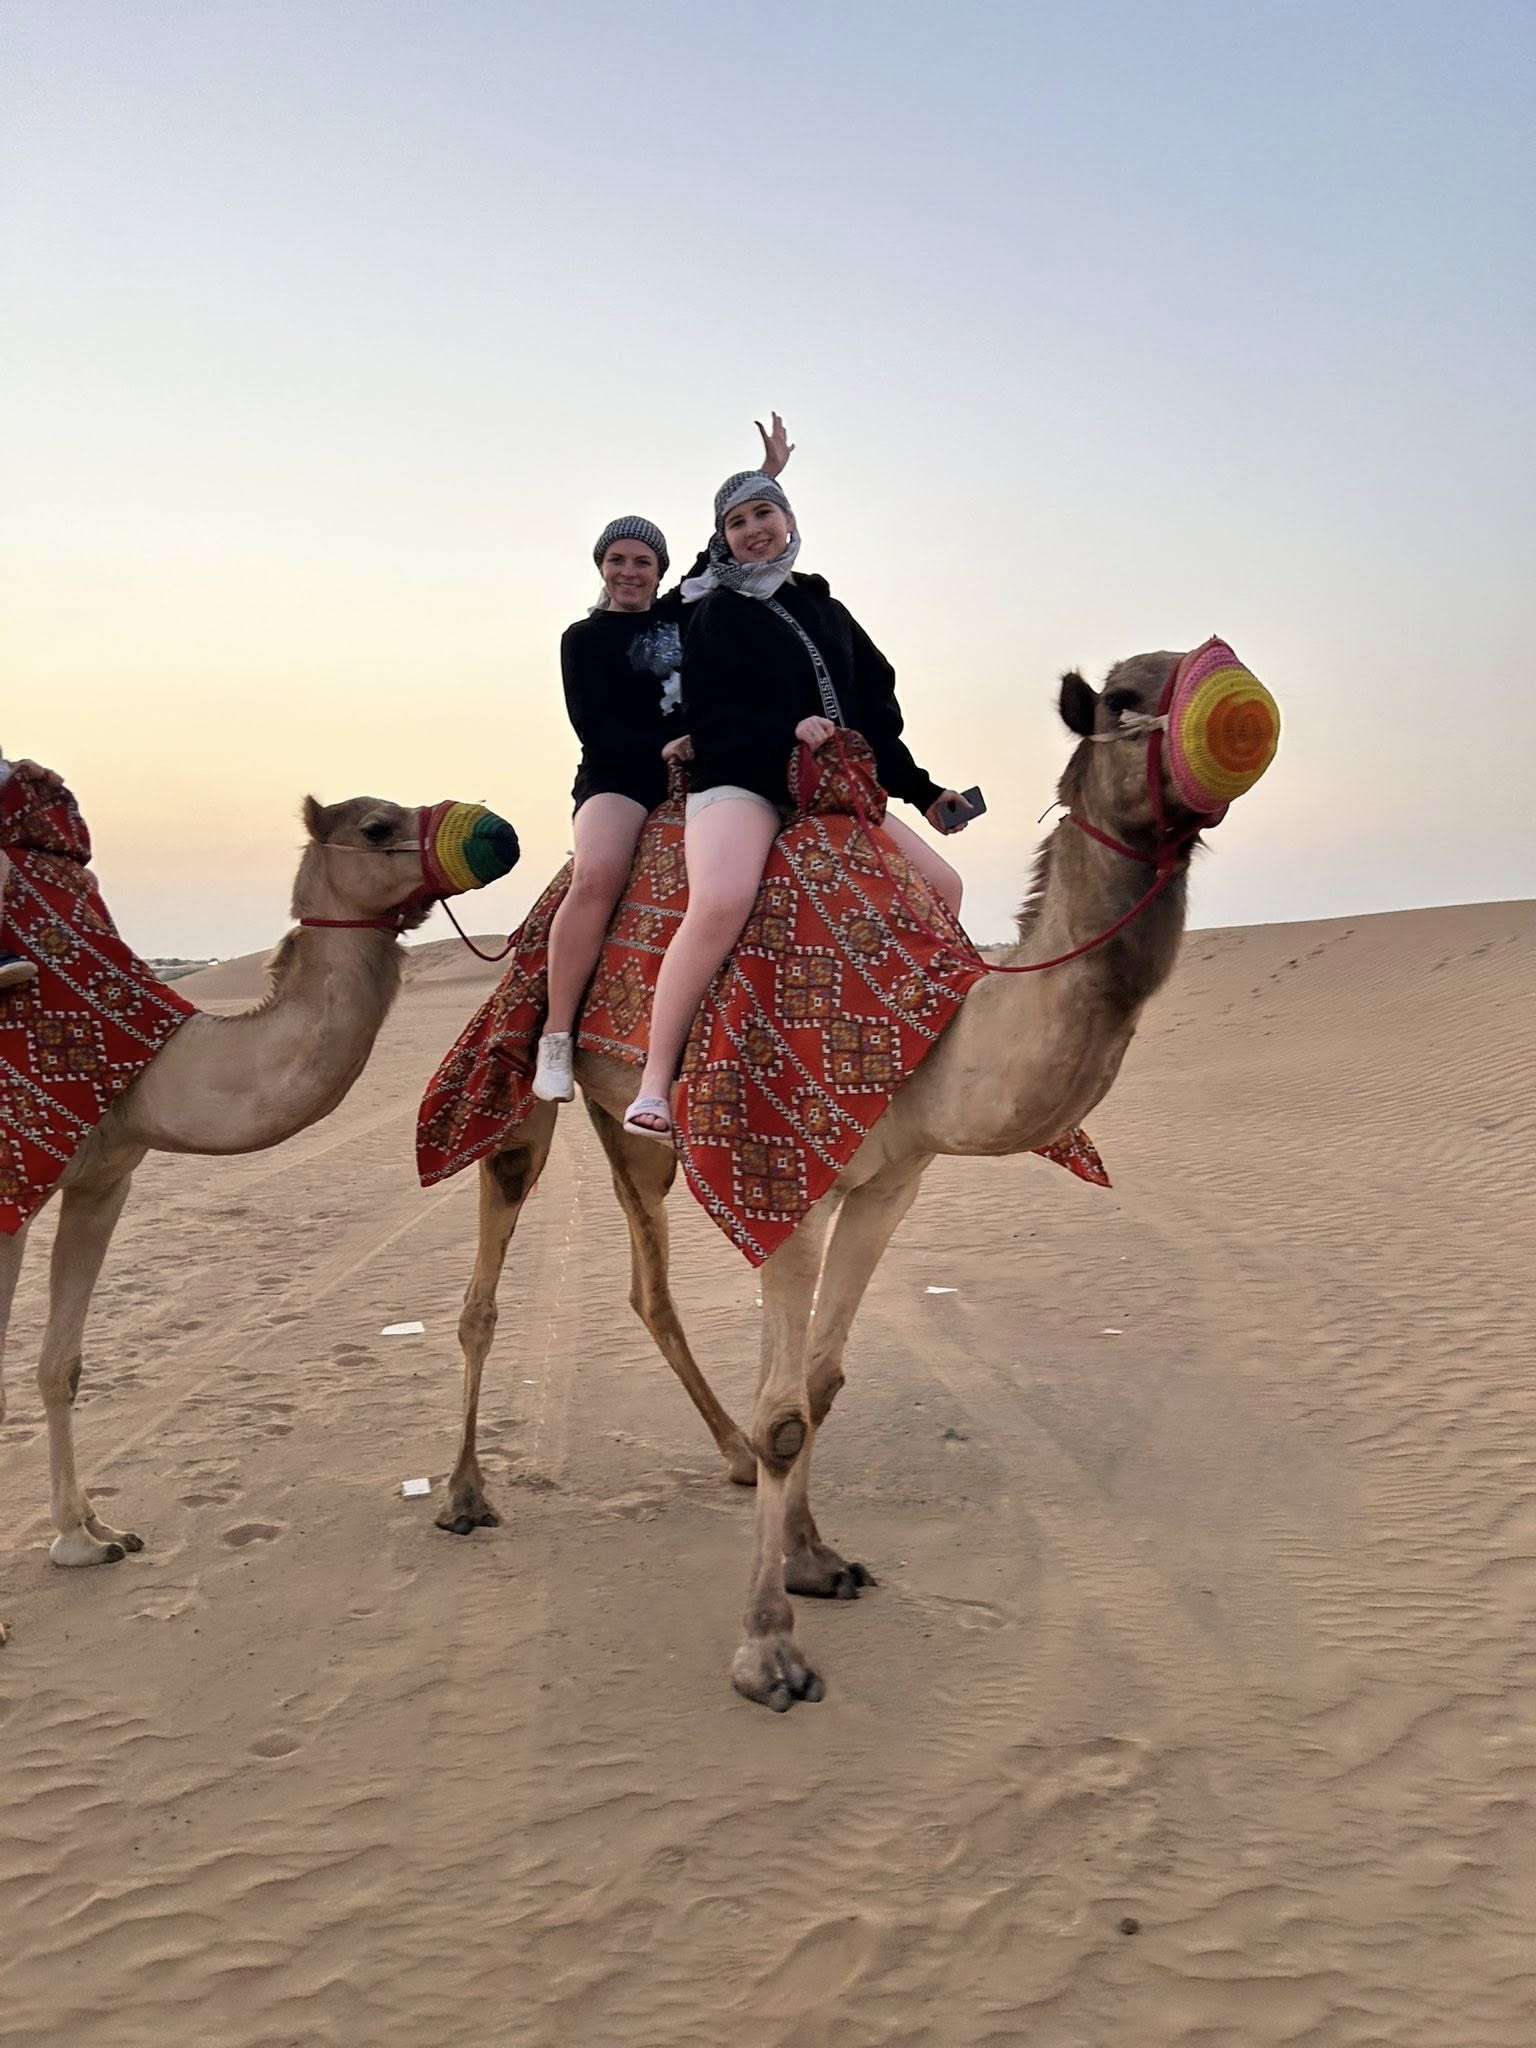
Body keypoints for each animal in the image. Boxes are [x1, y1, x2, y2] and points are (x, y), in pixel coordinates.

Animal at [0, 793, 518, 1604]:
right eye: (376, 826)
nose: (501, 831)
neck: (154, 1061)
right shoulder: (12, 1175)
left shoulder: (103, 1177)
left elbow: (63, 1364)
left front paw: (86, 1537)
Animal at [439, 649, 1270, 1708]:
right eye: (1124, 700)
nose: (1240, 712)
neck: (937, 1030)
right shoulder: (781, 1165)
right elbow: (786, 1413)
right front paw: (768, 1652)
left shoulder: (888, 1180)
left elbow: (818, 1384)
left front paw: (812, 1559)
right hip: (528, 1056)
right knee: (488, 1271)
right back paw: (464, 1494)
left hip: (640, 1138)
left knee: (650, 1286)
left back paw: (724, 1458)